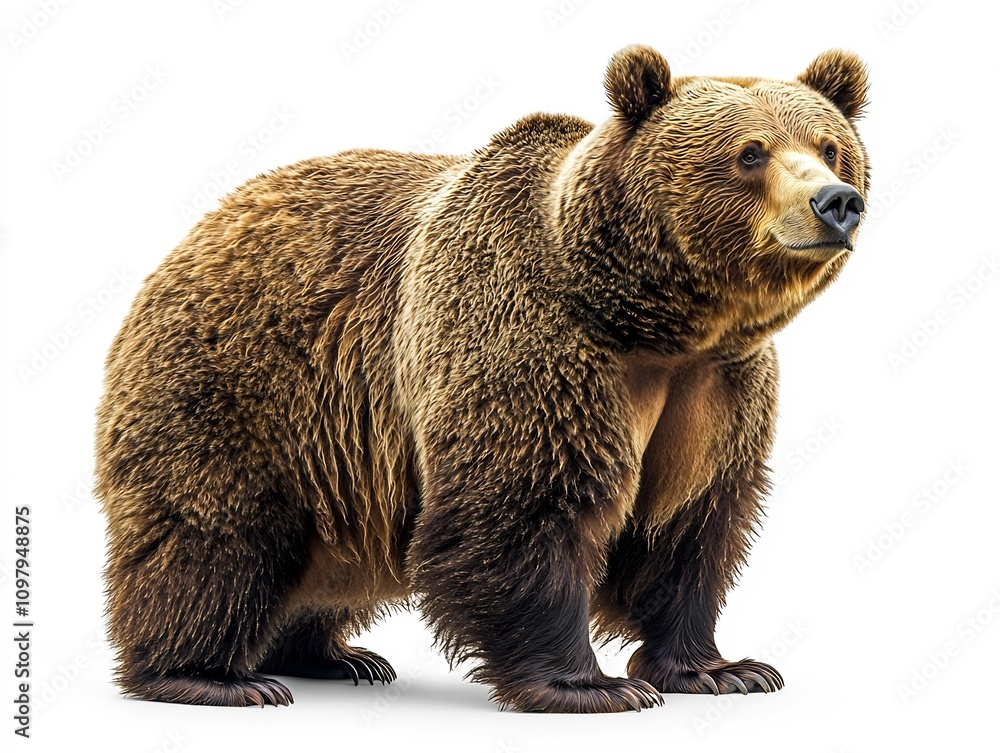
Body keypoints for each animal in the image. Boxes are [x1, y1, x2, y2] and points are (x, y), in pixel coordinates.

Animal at [96, 45, 869, 713]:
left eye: (830, 146)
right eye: (750, 152)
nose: (836, 201)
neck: (655, 325)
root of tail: (193, 234)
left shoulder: (717, 387)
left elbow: (689, 519)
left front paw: (722, 668)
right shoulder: (534, 343)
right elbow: (524, 503)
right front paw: (590, 685)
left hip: (342, 455)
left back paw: (334, 655)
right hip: (246, 387)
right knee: (214, 528)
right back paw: (211, 674)